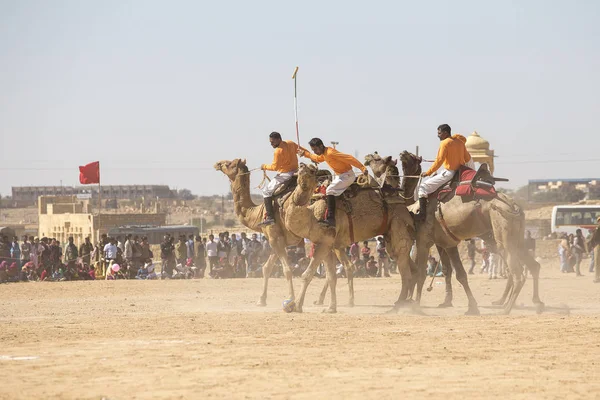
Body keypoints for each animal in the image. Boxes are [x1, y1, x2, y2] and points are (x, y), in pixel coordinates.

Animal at [278, 162, 414, 312]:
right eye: (300, 167)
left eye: (312, 170)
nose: (301, 166)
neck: (312, 216)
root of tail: (403, 205)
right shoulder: (326, 244)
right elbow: (331, 276)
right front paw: (331, 308)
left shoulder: (325, 242)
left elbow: (307, 274)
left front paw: (296, 306)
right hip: (389, 234)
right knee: (407, 264)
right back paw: (408, 302)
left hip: (398, 223)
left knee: (404, 265)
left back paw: (400, 304)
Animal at [366, 152, 544, 314]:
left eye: (410, 159)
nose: (402, 153)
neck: (414, 210)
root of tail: (515, 206)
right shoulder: (447, 243)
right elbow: (456, 273)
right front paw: (466, 306)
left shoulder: (424, 240)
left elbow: (421, 273)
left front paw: (415, 304)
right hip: (515, 238)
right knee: (531, 266)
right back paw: (534, 302)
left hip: (501, 234)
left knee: (516, 272)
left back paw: (506, 308)